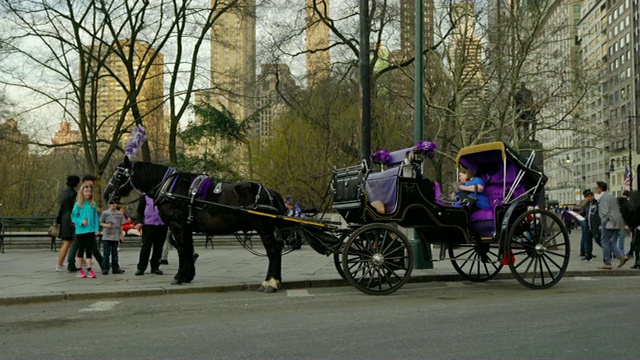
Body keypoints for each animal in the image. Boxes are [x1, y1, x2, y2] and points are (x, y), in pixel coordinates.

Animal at [103, 157, 288, 292]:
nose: (106, 195)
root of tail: (270, 191)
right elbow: (185, 248)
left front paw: (179, 276)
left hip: (263, 227)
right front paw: (188, 275)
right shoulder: (185, 227)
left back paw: (270, 282)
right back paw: (276, 281)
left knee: (273, 250)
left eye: (119, 175)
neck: (168, 188)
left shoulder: (177, 225)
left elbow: (182, 248)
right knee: (276, 248)